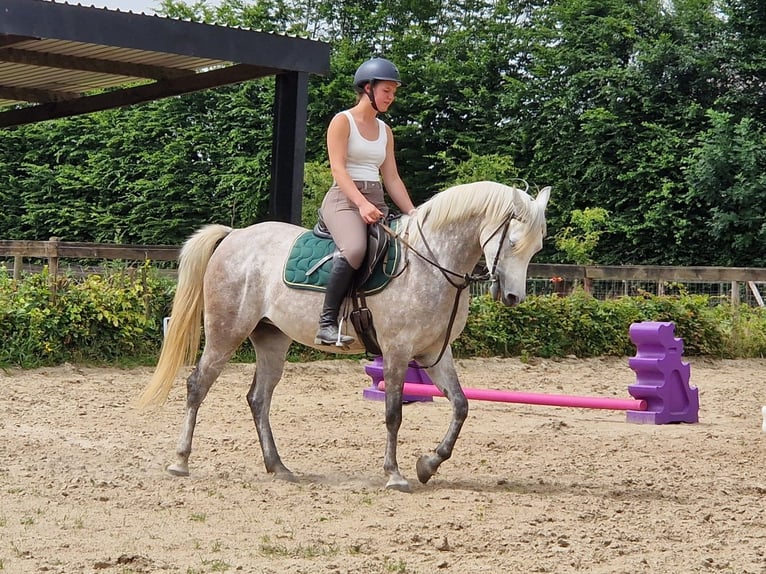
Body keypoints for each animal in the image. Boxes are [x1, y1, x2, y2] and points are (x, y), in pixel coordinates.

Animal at [140, 182, 552, 492]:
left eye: (536, 247)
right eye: (512, 242)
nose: (513, 297)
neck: (431, 263)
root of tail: (234, 236)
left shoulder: (435, 352)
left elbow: (461, 405)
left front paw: (428, 464)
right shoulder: (397, 350)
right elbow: (393, 412)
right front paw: (395, 474)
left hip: (271, 338)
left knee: (258, 398)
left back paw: (279, 467)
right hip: (226, 333)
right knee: (197, 386)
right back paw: (180, 461)